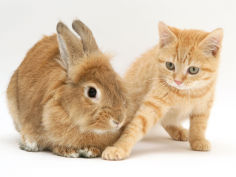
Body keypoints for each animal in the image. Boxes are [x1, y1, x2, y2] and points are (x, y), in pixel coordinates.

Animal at [103, 21, 223, 160]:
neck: (185, 94)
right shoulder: (154, 102)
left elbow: (199, 124)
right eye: (170, 65)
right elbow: (137, 125)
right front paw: (120, 147)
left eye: (193, 70)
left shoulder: (204, 104)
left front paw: (198, 140)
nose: (177, 81)